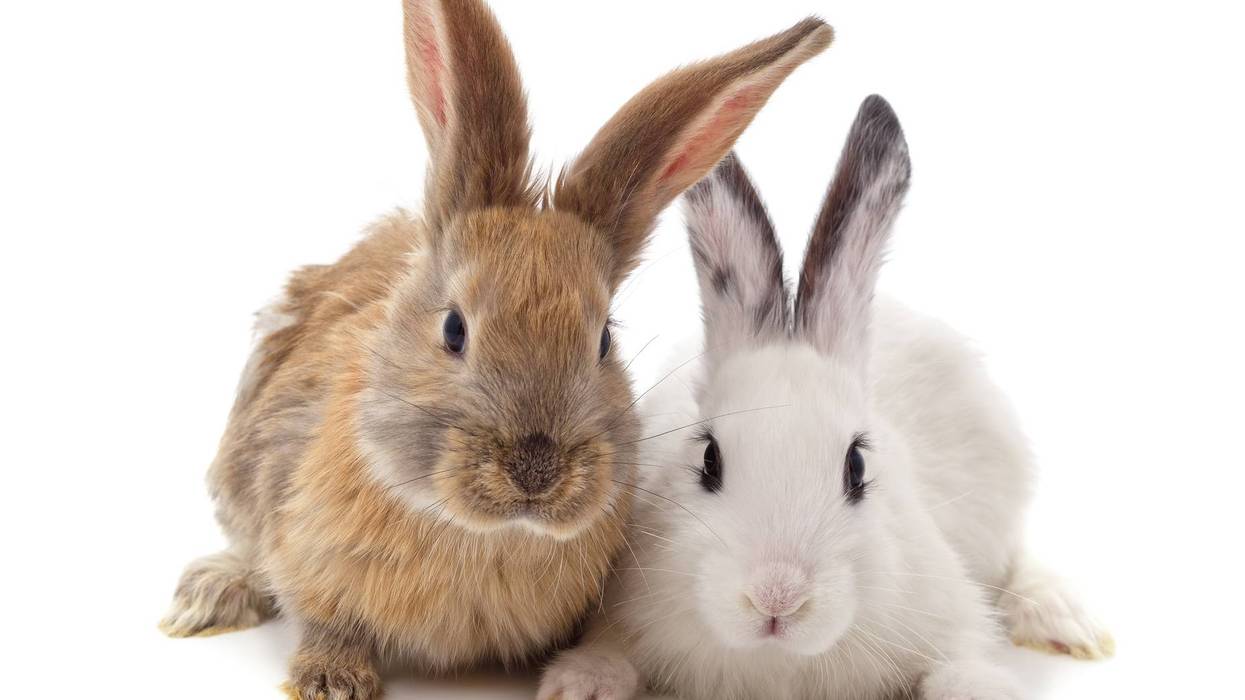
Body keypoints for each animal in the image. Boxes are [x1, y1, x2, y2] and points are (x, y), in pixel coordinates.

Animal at [157, 1, 835, 698]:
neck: (485, 534)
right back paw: (207, 595)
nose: (536, 470)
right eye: (454, 330)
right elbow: (323, 620)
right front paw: (331, 679)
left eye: (603, 339)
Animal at [538, 96, 1113, 700]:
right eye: (708, 460)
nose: (777, 598)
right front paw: (580, 684)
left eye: (856, 466)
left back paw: (1064, 619)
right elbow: (609, 647)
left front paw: (980, 687)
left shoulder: (945, 602)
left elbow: (960, 660)